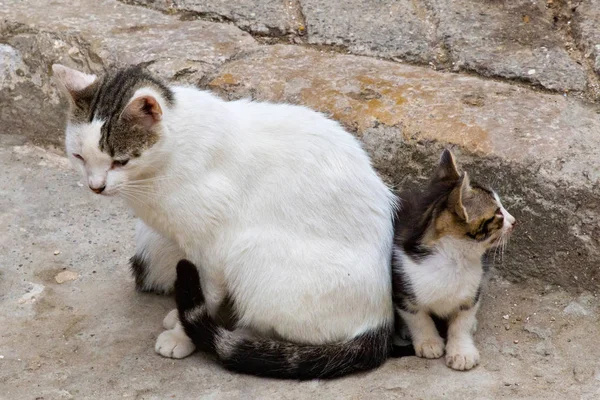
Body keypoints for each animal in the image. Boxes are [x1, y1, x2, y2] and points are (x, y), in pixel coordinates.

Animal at [52, 64, 398, 380]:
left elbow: (207, 292)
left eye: (120, 161)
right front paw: (178, 316)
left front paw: (182, 334)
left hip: (252, 249)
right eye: (79, 157)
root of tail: (381, 318)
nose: (96, 186)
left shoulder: (214, 247)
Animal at [394, 148, 516, 370]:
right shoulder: (403, 289)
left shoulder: (471, 293)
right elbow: (418, 318)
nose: (514, 221)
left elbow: (462, 323)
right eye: (498, 213)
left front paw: (462, 351)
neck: (455, 259)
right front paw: (429, 342)